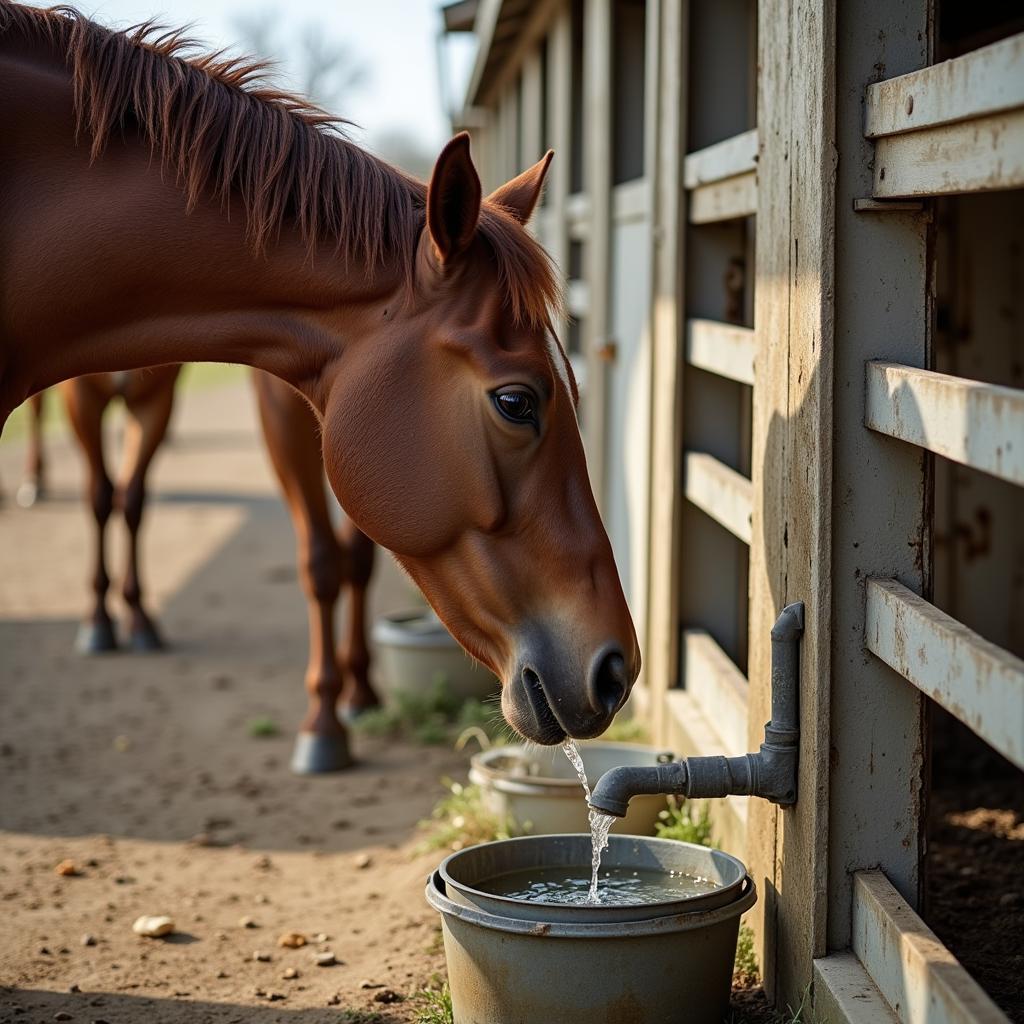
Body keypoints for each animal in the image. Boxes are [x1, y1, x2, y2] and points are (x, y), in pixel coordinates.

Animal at [2, 6, 638, 745]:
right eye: (516, 401)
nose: (616, 668)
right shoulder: (278, 425)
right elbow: (314, 559)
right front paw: (321, 723)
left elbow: (353, 556)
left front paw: (357, 691)